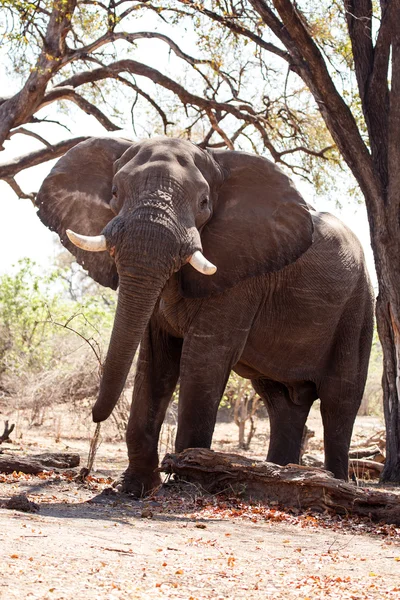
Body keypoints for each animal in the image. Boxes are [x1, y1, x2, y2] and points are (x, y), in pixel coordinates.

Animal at [36, 137, 374, 496]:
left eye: (203, 202)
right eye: (114, 192)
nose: (94, 415)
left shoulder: (240, 273)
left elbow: (204, 358)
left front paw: (188, 478)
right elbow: (155, 359)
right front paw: (135, 489)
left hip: (358, 307)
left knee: (339, 401)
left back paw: (334, 486)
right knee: (280, 401)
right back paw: (282, 477)